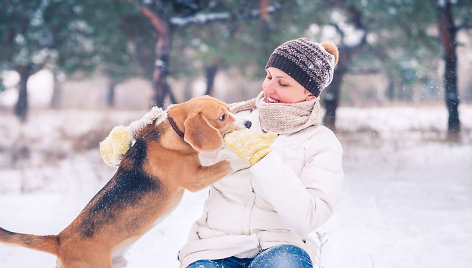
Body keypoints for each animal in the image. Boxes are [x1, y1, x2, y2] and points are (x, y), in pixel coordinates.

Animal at [0, 95, 249, 266]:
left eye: (230, 110)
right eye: (222, 117)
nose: (248, 124)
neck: (173, 132)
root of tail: (61, 239)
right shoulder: (195, 179)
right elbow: (226, 162)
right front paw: (243, 156)